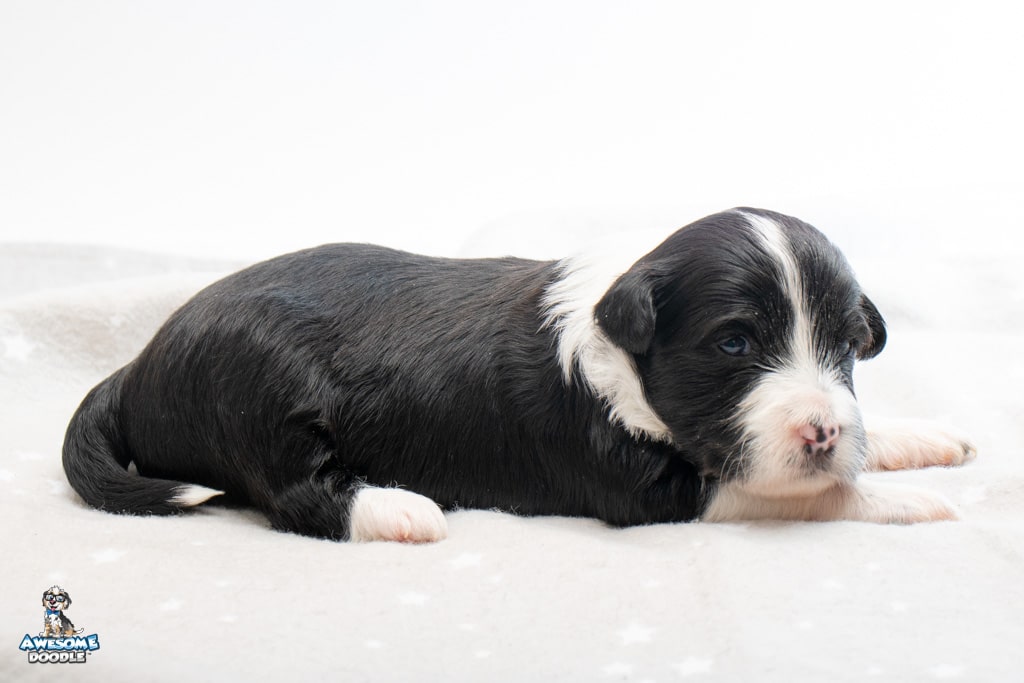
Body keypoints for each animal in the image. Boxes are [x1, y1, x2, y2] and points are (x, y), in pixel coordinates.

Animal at [62, 208, 975, 542]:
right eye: (733, 345)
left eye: (849, 345)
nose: (821, 429)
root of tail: (135, 367)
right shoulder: (648, 488)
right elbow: (806, 492)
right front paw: (907, 499)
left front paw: (924, 439)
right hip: (256, 394)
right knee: (293, 492)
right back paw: (402, 509)